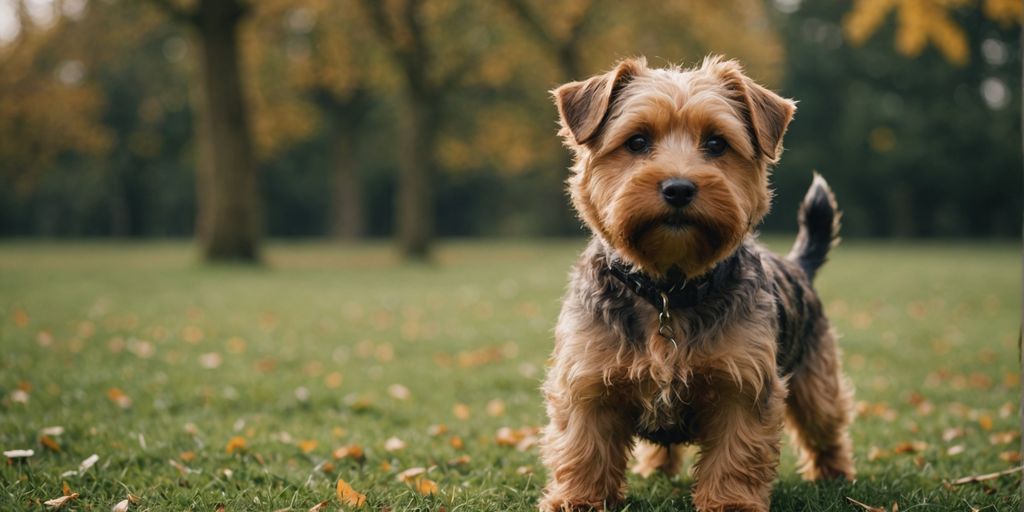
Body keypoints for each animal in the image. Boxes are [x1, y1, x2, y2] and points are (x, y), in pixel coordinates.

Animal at [544, 56, 856, 512]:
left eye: (716, 144)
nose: (678, 188)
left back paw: (835, 476)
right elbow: (585, 449)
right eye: (637, 141)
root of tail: (797, 266)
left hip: (816, 381)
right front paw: (579, 500)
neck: (666, 290)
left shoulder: (742, 385)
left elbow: (735, 455)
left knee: (826, 424)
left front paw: (731, 504)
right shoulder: (588, 381)